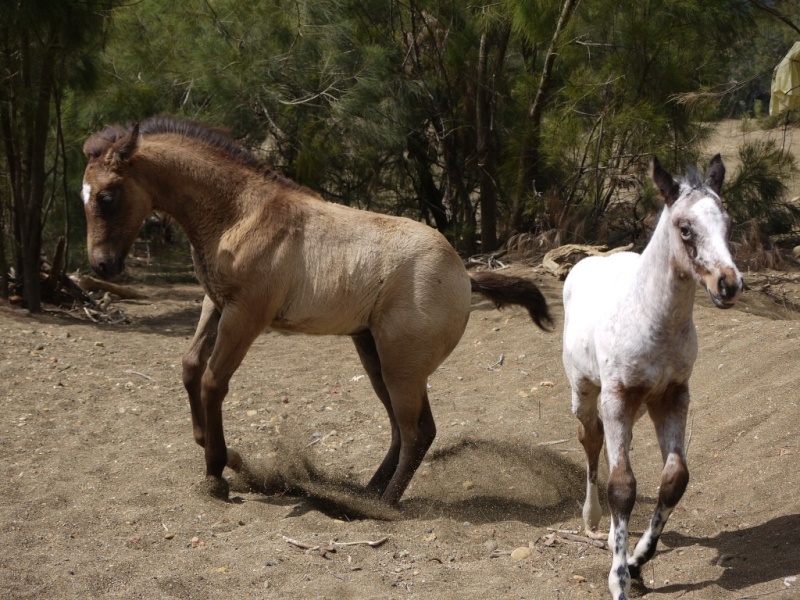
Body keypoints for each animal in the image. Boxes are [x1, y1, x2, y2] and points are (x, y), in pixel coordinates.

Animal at [564, 156, 744, 600]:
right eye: (686, 228)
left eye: (728, 223)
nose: (729, 284)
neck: (651, 320)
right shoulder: (616, 395)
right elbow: (622, 487)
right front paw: (618, 578)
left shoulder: (673, 395)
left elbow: (674, 479)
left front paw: (636, 560)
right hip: (586, 392)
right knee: (592, 441)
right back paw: (592, 518)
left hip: (640, 406)